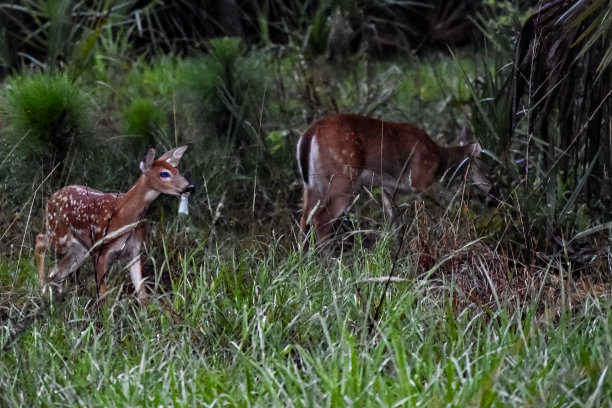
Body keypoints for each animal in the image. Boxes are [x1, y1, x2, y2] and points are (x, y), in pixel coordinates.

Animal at [34, 146, 196, 300]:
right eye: (164, 174)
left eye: (177, 169)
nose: (190, 187)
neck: (124, 214)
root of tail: (51, 198)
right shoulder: (101, 250)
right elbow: (103, 295)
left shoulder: (135, 251)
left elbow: (143, 294)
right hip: (59, 235)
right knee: (40, 240)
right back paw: (44, 292)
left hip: (81, 249)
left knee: (57, 270)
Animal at [296, 113, 492, 244]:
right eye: (483, 160)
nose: (491, 187)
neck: (439, 160)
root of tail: (309, 134)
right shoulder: (421, 180)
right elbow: (428, 218)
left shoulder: (388, 187)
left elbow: (394, 223)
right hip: (342, 176)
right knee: (320, 220)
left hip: (313, 184)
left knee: (304, 218)